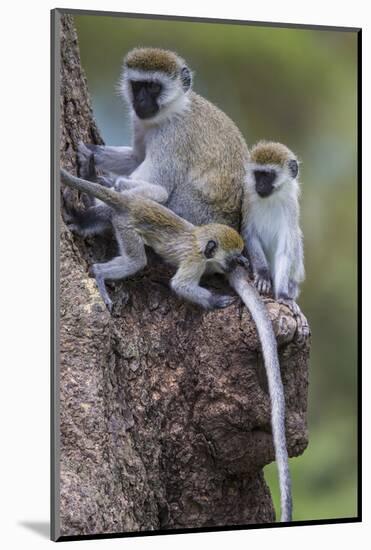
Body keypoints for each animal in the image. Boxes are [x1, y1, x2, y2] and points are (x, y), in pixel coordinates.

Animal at [60, 168, 250, 314]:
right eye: (232, 259)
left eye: (238, 256)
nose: (237, 263)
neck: (200, 240)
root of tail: (132, 203)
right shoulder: (195, 261)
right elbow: (180, 285)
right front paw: (215, 300)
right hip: (126, 226)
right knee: (136, 261)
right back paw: (99, 273)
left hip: (138, 199)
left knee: (156, 194)